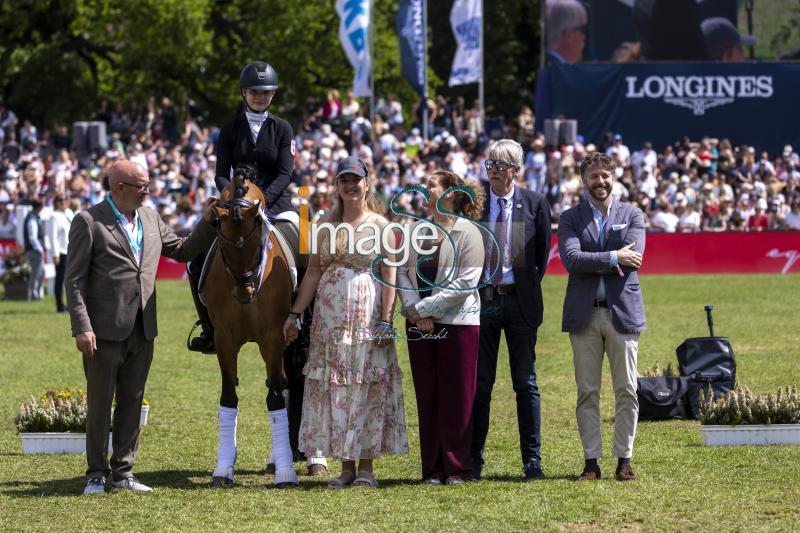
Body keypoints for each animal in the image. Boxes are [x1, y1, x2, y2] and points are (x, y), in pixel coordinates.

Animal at [203, 169, 296, 486]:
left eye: (257, 244)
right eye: (222, 246)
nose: (245, 293)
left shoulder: (272, 339)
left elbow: (275, 398)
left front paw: (286, 472)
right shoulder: (224, 339)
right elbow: (228, 396)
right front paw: (223, 467)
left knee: (286, 386)